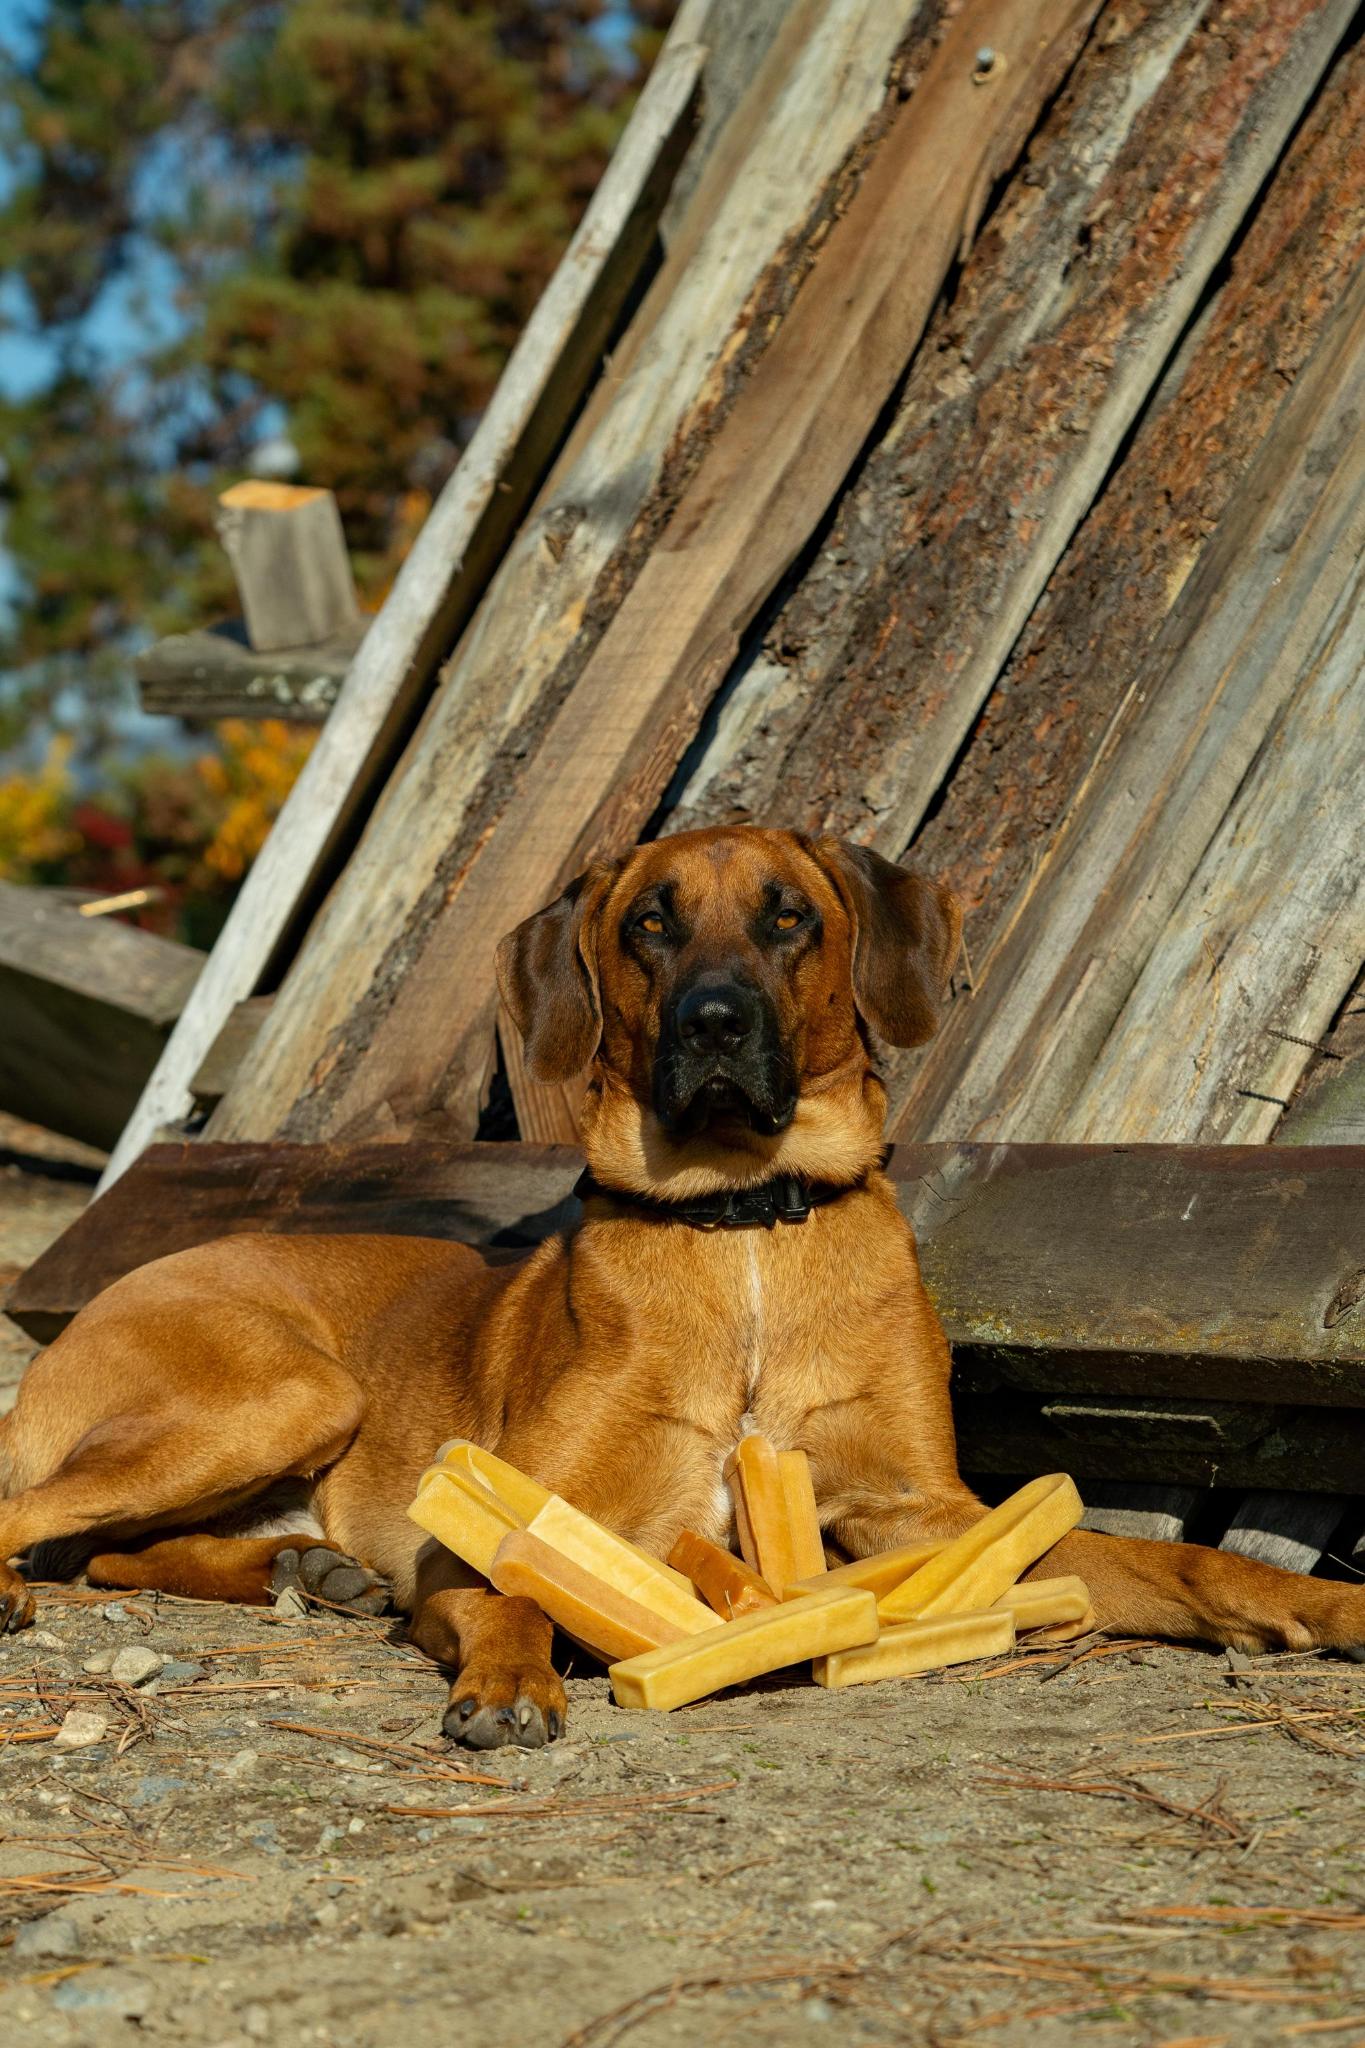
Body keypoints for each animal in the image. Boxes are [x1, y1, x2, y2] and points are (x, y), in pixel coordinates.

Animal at [2, 831, 1365, 1744]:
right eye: (648, 924)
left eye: (788, 918)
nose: (714, 1022)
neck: (742, 1219)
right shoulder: (497, 1517)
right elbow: (509, 1586)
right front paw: (511, 1675)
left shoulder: (919, 1512)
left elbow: (1160, 1559)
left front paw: (1312, 1602)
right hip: (290, 1391)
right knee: (38, 1522)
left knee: (106, 1549)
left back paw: (301, 1572)